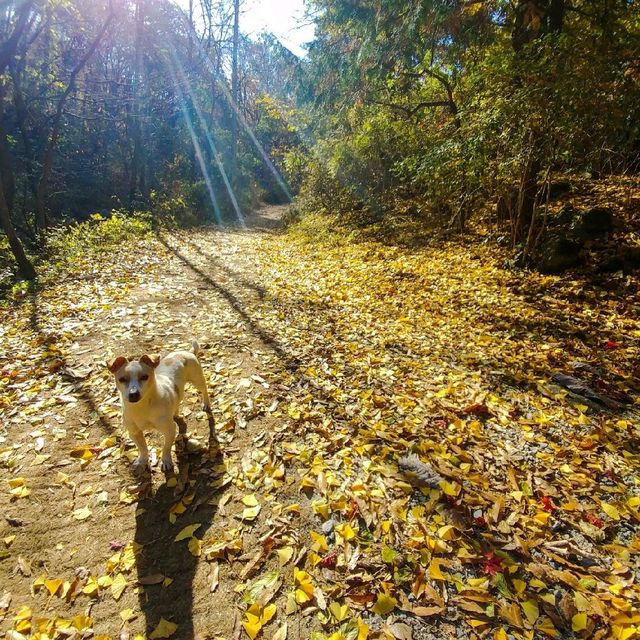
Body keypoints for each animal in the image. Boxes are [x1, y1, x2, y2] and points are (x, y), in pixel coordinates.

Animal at [107, 342, 210, 472]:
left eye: (144, 377)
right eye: (122, 379)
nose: (133, 393)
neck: (142, 407)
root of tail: (187, 352)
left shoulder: (169, 430)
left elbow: (166, 447)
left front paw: (166, 461)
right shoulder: (134, 433)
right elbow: (142, 448)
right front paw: (142, 460)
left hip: (197, 381)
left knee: (204, 390)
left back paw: (206, 404)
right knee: (178, 400)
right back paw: (175, 413)